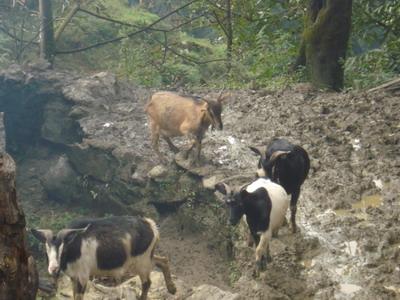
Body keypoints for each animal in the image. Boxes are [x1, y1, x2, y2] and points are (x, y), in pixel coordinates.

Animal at [31, 216, 175, 300]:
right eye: (46, 250)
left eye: (63, 249)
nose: (53, 268)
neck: (75, 248)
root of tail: (151, 225)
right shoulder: (73, 277)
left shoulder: (83, 276)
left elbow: (79, 296)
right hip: (145, 258)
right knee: (163, 260)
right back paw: (172, 289)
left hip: (141, 261)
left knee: (147, 283)